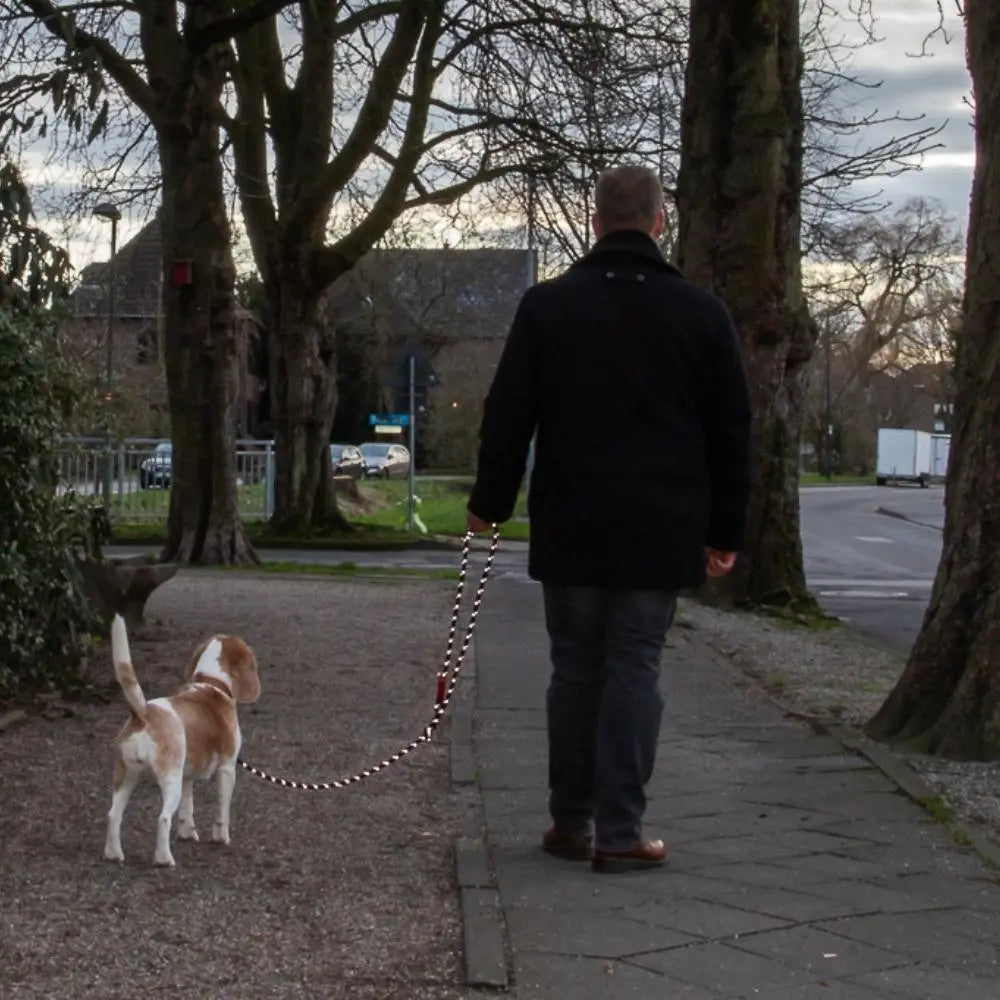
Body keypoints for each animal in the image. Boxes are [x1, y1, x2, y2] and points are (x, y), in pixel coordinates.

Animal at [104, 612, 262, 864]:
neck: (211, 682)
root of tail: (143, 712)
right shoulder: (227, 768)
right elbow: (222, 810)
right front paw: (221, 838)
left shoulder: (188, 773)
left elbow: (188, 807)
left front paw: (188, 833)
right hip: (170, 779)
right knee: (162, 819)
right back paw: (164, 858)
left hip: (126, 776)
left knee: (113, 815)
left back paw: (114, 854)